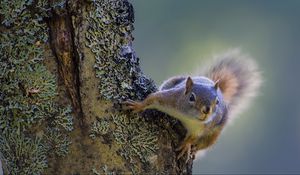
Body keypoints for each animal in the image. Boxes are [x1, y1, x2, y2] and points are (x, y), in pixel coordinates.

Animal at [123, 49, 262, 161]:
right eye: (191, 97)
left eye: (217, 102)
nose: (207, 110)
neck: (188, 118)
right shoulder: (171, 99)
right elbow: (153, 98)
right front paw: (138, 105)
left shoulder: (201, 128)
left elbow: (193, 137)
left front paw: (186, 145)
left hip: (214, 134)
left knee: (204, 144)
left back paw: (194, 149)